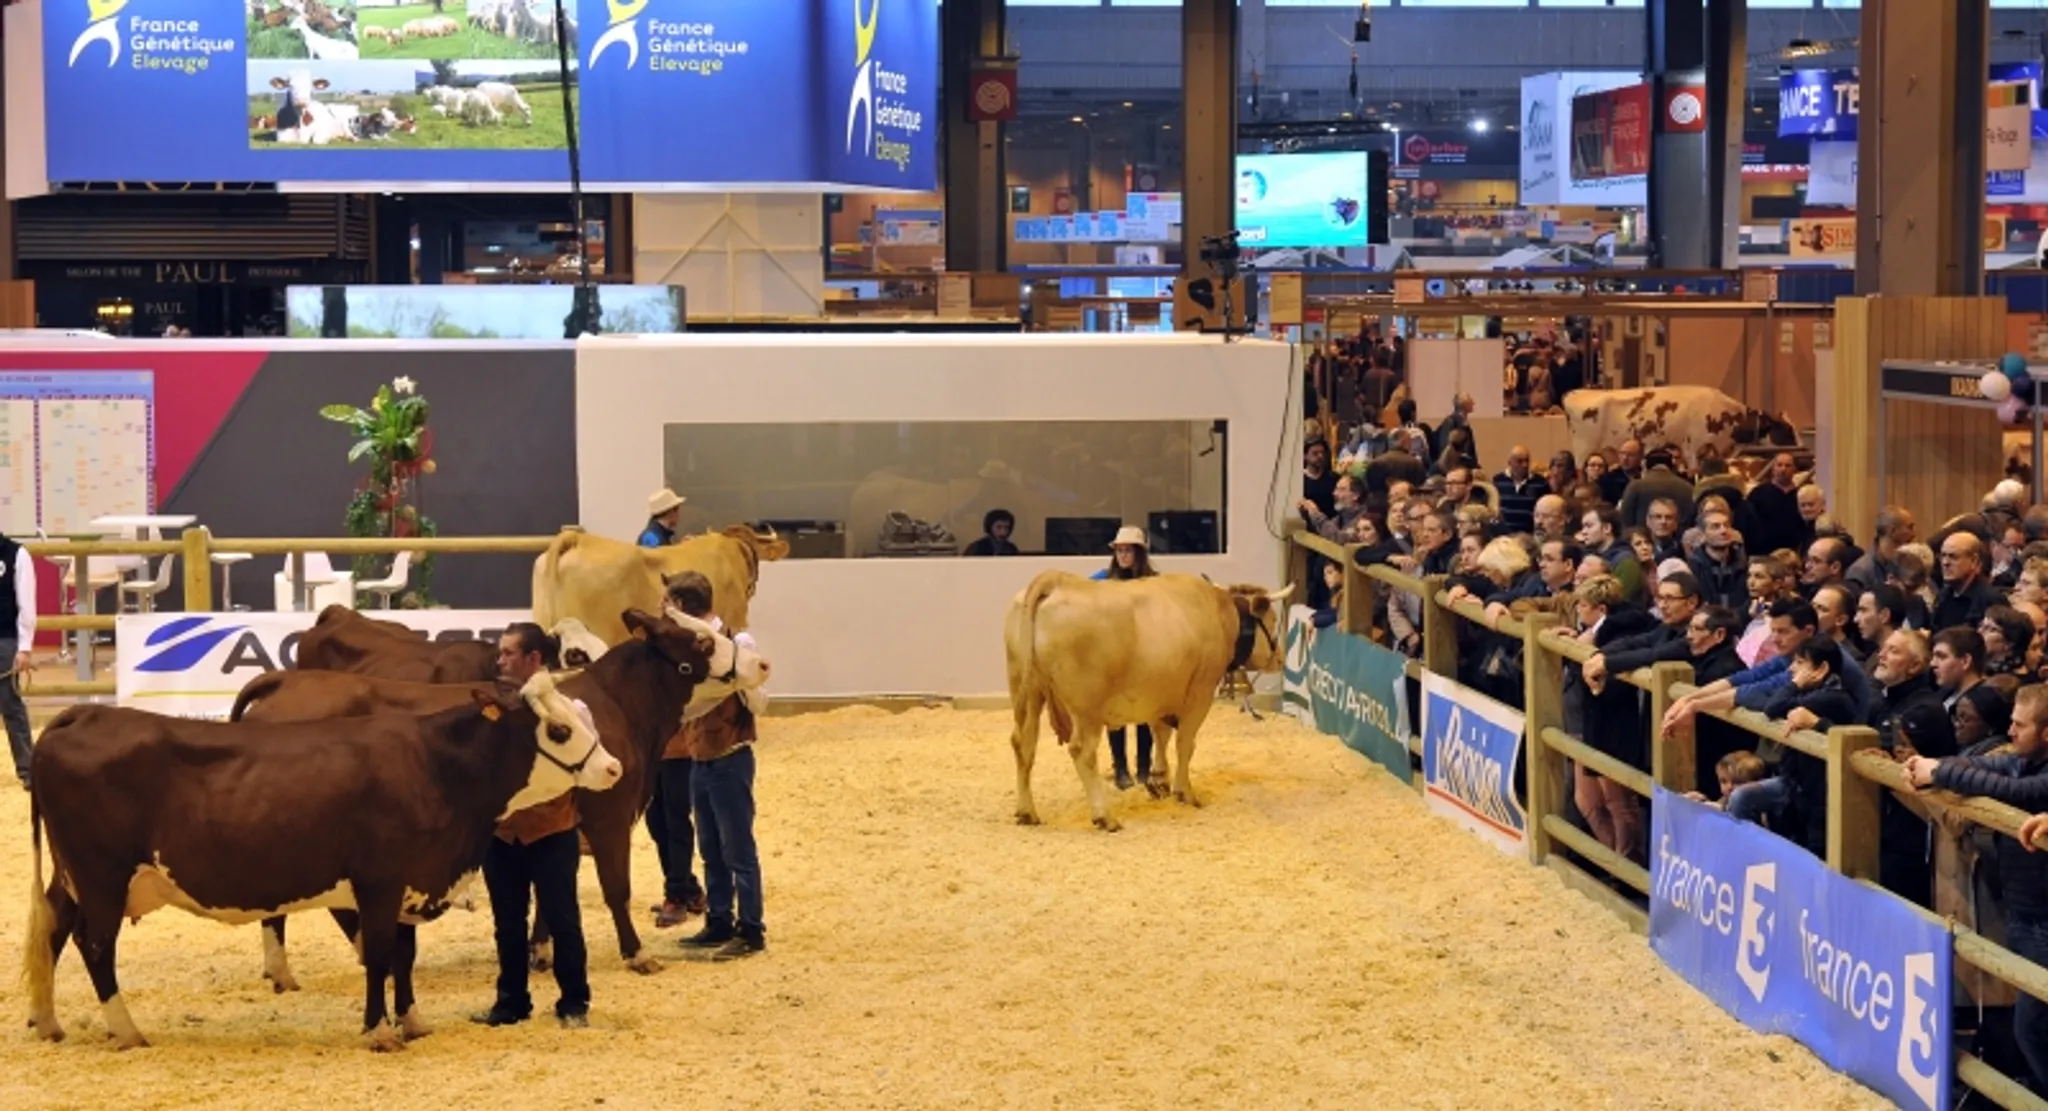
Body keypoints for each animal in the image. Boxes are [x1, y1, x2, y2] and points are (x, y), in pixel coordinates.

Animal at [22, 672, 630, 1057]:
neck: (435, 768)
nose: (613, 768)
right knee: (95, 946)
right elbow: (381, 955)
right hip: (102, 876)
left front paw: (412, 1021)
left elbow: (403, 957)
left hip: (71, 877)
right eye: (558, 730)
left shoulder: (409, 885)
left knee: (53, 928)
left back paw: (48, 1021)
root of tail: (82, 713)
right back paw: (126, 1031)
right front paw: (377, 1031)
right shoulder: (381, 880)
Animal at [234, 614, 761, 988]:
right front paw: (637, 954)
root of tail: (287, 682)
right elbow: (617, 889)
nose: (760, 663)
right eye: (702, 642)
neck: (619, 707)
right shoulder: (609, 816)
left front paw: (541, 952)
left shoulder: (561, 826)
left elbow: (550, 893)